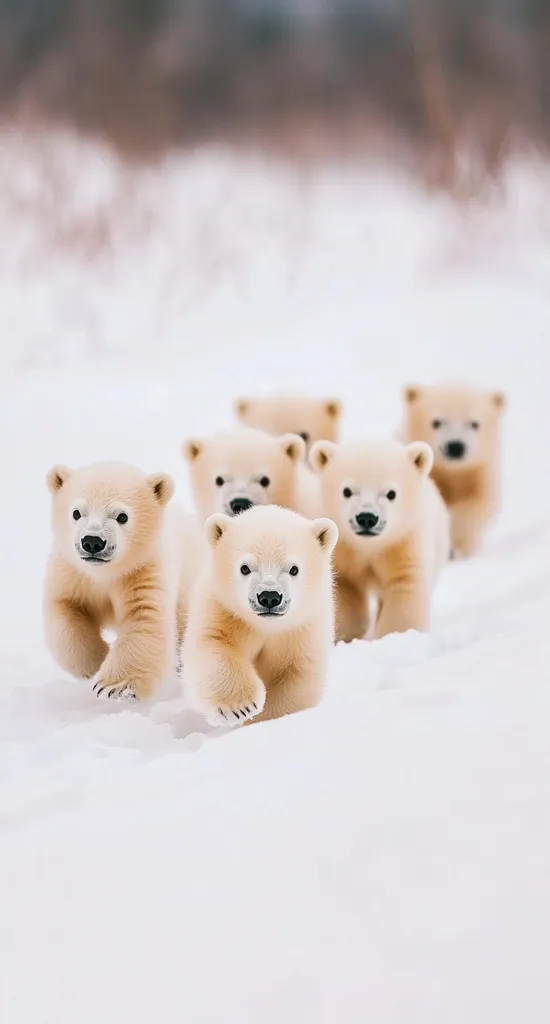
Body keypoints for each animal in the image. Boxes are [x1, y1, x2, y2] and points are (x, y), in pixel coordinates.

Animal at [44, 461, 202, 700]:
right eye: (76, 512)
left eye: (122, 516)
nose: (92, 541)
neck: (106, 573)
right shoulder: (73, 574)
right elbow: (65, 609)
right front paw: (96, 661)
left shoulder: (142, 571)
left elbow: (144, 617)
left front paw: (114, 686)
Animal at [182, 504, 338, 726]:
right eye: (244, 568)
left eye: (294, 569)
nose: (270, 597)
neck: (266, 626)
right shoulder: (223, 609)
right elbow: (214, 644)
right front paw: (241, 707)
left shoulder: (302, 626)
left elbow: (296, 672)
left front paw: (265, 720)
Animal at [309, 438, 449, 643]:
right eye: (347, 491)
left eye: (391, 493)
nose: (366, 518)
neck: (369, 546)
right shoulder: (342, 547)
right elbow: (345, 587)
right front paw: (345, 634)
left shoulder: (405, 541)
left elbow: (404, 583)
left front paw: (396, 635)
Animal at [401, 384, 506, 557]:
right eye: (436, 422)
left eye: (474, 423)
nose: (456, 446)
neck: (453, 472)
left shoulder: (479, 473)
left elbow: (474, 506)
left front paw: (456, 548)